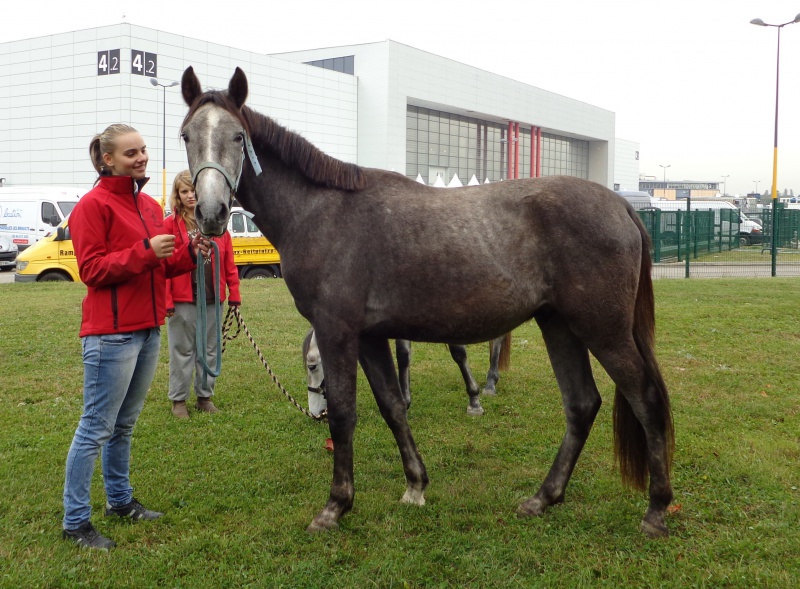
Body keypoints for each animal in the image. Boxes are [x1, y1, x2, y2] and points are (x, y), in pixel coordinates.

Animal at [304, 328, 510, 416]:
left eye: (311, 366)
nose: (314, 412)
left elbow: (458, 351)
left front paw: (474, 402)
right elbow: (403, 355)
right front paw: (405, 401)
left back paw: (490, 383)